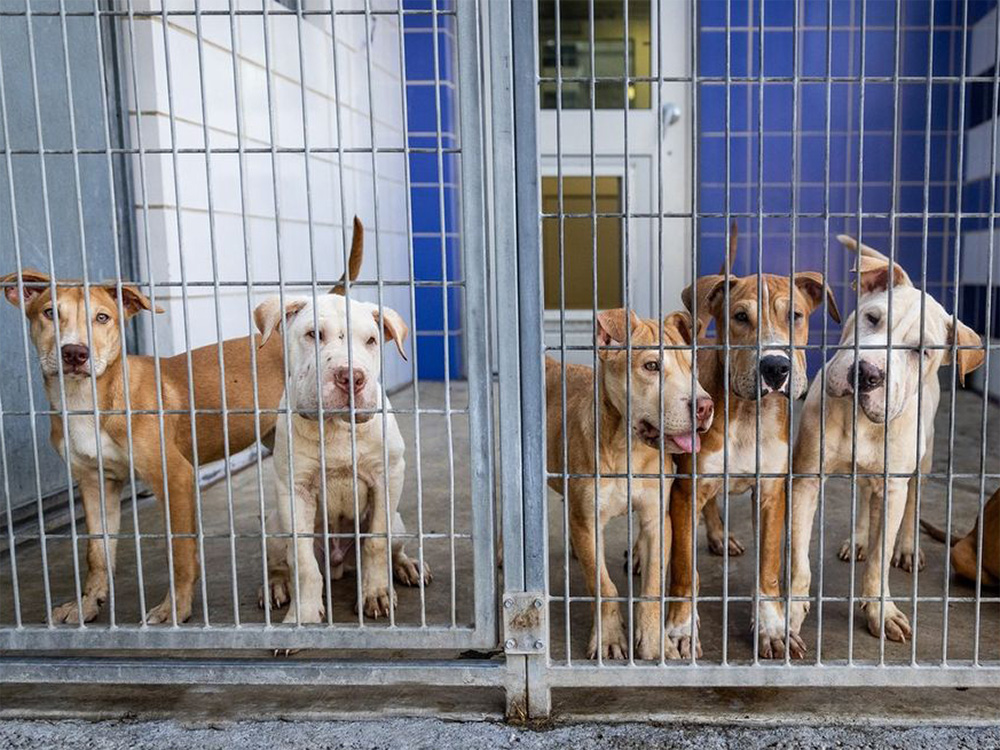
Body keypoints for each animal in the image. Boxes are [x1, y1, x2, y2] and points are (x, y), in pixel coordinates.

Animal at [1, 216, 366, 624]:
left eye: (102, 318)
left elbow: (179, 551)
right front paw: (87, 603)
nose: (75, 353)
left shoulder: (175, 476)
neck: (92, 399)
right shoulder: (95, 483)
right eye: (49, 313)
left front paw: (174, 608)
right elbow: (97, 552)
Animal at [254, 290, 430, 624]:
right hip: (273, 526)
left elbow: (376, 542)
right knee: (281, 561)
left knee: (393, 548)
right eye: (313, 334)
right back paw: (275, 584)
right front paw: (304, 614)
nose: (351, 377)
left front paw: (376, 593)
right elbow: (302, 561)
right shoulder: (295, 489)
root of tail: (338, 564)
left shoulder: (389, 475)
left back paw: (407, 566)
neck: (336, 428)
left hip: (398, 521)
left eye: (371, 340)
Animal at [548, 308, 712, 660]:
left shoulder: (657, 520)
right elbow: (603, 585)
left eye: (692, 366)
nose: (705, 406)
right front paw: (609, 639)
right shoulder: (589, 522)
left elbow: (652, 587)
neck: (627, 448)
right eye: (651, 366)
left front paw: (654, 643)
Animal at [664, 268, 844, 656]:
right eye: (740, 317)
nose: (775, 367)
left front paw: (772, 627)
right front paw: (681, 629)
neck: (747, 412)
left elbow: (769, 569)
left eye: (795, 315)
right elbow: (684, 569)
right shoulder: (686, 491)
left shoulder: (771, 494)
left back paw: (720, 536)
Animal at [788, 238, 984, 648]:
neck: (862, 421)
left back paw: (907, 548)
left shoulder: (894, 485)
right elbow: (799, 559)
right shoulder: (806, 480)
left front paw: (881, 612)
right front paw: (787, 615)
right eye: (873, 318)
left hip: (922, 462)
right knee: (865, 496)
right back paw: (859, 539)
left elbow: (881, 558)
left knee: (910, 506)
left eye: (921, 351)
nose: (868, 373)